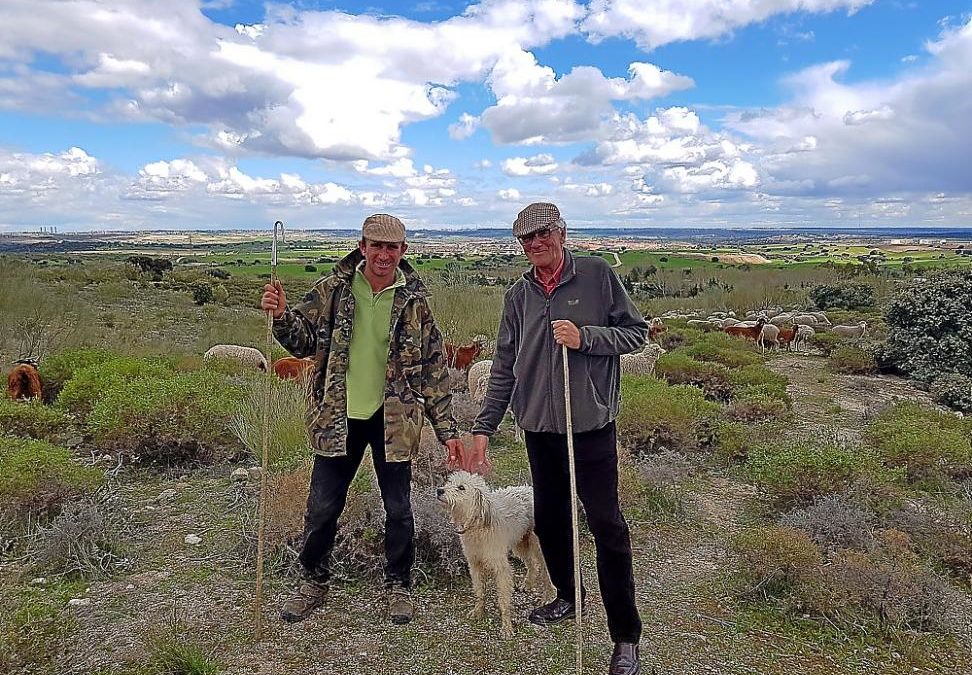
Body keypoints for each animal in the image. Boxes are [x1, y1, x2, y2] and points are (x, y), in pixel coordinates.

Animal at [438, 472, 556, 636]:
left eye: (461, 487)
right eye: (449, 482)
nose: (439, 490)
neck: (478, 524)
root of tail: (529, 489)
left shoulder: (501, 568)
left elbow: (503, 599)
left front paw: (506, 627)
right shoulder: (474, 564)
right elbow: (480, 592)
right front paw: (478, 612)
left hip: (536, 544)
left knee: (544, 568)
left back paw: (549, 595)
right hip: (520, 543)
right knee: (532, 564)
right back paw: (527, 584)